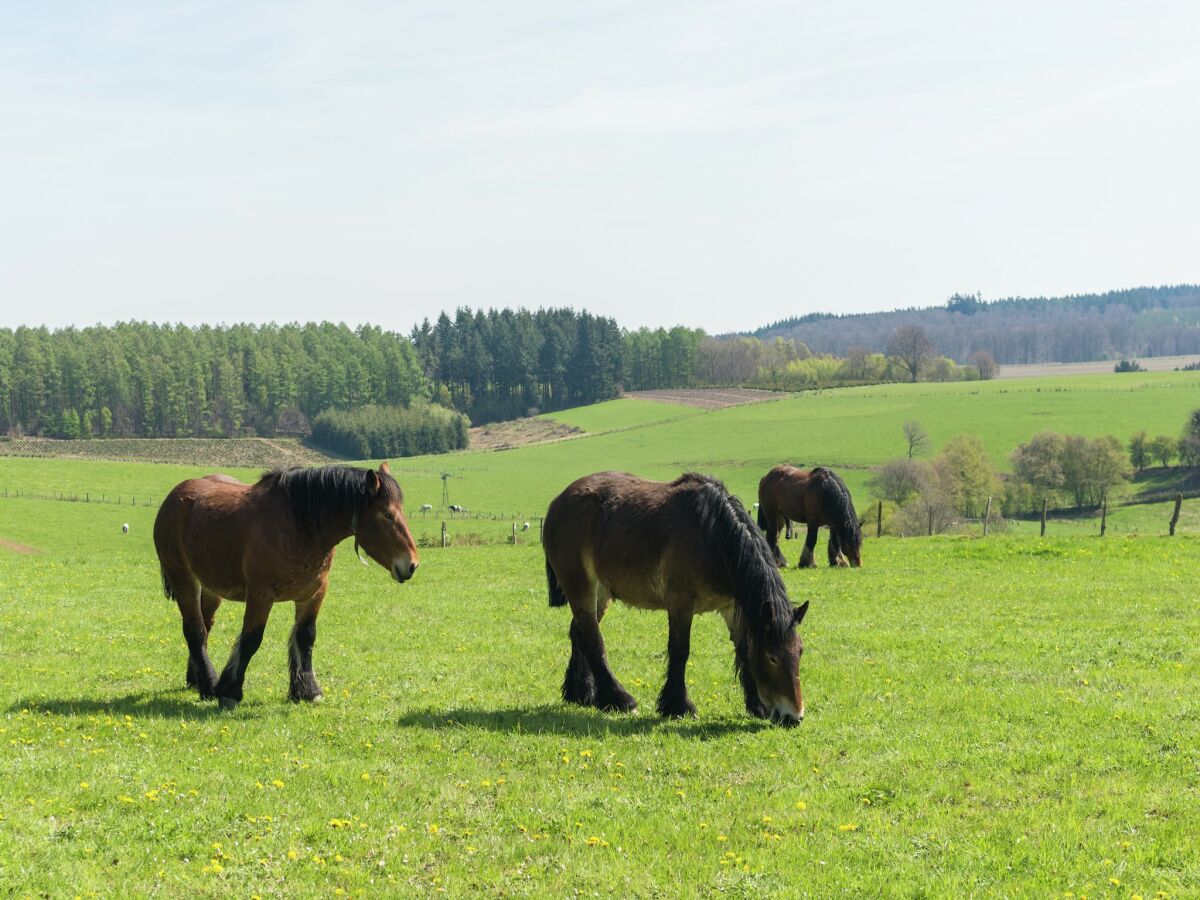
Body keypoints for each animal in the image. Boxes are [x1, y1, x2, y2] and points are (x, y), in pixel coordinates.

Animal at [154, 465, 420, 710]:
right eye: (387, 515)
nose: (412, 564)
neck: (299, 525)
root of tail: (175, 496)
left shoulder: (313, 594)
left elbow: (306, 637)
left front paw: (307, 690)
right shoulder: (260, 595)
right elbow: (251, 639)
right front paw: (230, 690)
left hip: (211, 588)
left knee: (205, 625)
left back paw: (196, 679)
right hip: (183, 579)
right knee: (195, 631)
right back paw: (209, 684)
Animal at [542, 472, 806, 724]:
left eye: (800, 651)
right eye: (772, 658)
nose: (793, 717)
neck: (711, 534)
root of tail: (558, 501)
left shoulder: (732, 607)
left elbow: (744, 650)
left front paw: (757, 705)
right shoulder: (681, 604)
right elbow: (680, 651)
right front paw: (678, 705)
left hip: (601, 592)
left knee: (579, 633)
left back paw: (582, 693)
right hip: (580, 586)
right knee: (593, 640)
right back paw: (619, 699)